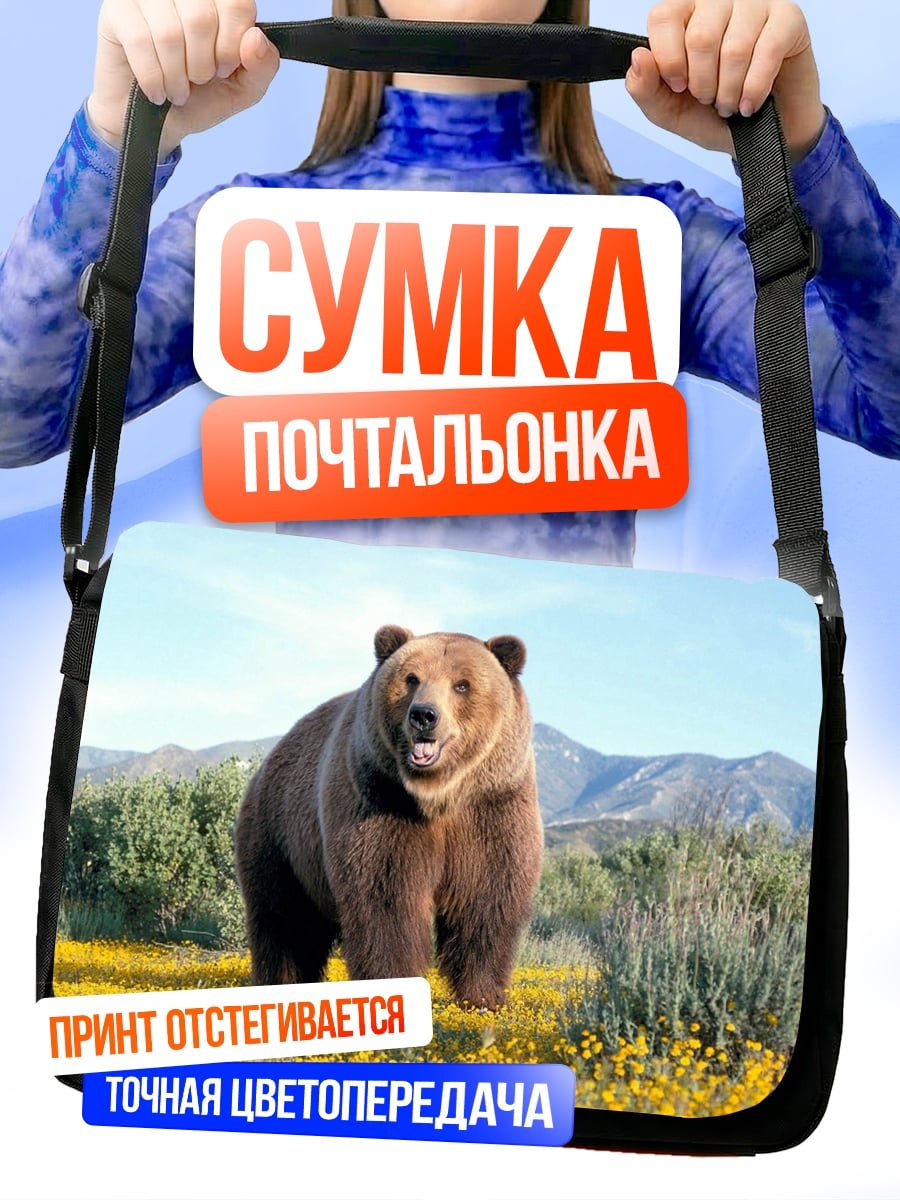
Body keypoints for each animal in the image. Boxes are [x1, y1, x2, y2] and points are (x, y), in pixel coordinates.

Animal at [234, 624, 543, 1010]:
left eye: (462, 684)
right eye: (411, 678)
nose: (424, 715)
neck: (438, 797)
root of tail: (269, 759)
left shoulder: (492, 807)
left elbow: (486, 897)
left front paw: (483, 995)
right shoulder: (380, 802)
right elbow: (385, 898)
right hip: (280, 837)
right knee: (283, 921)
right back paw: (280, 984)